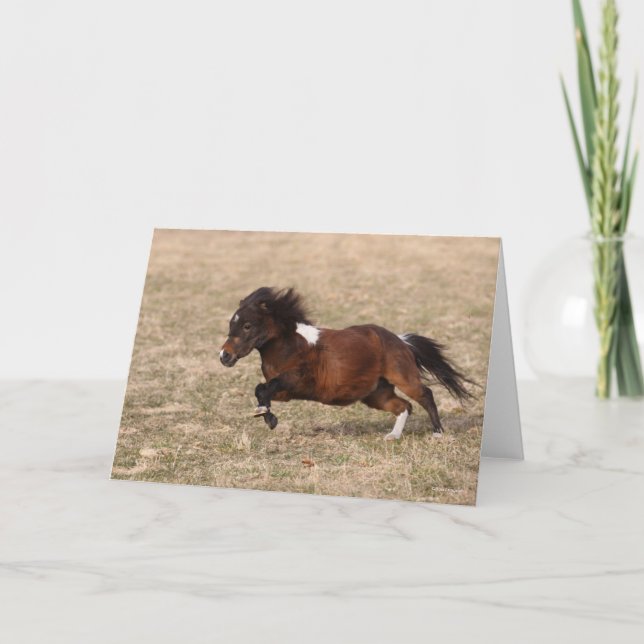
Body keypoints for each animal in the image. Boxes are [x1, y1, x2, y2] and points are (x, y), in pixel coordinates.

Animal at [219, 287, 474, 440]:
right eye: (232, 323)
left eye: (247, 326)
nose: (224, 356)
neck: (288, 345)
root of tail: (400, 341)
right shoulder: (285, 392)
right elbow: (261, 389)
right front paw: (267, 416)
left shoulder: (295, 380)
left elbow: (266, 388)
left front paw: (267, 416)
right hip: (376, 394)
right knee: (404, 406)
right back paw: (393, 436)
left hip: (403, 377)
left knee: (425, 395)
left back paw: (438, 433)